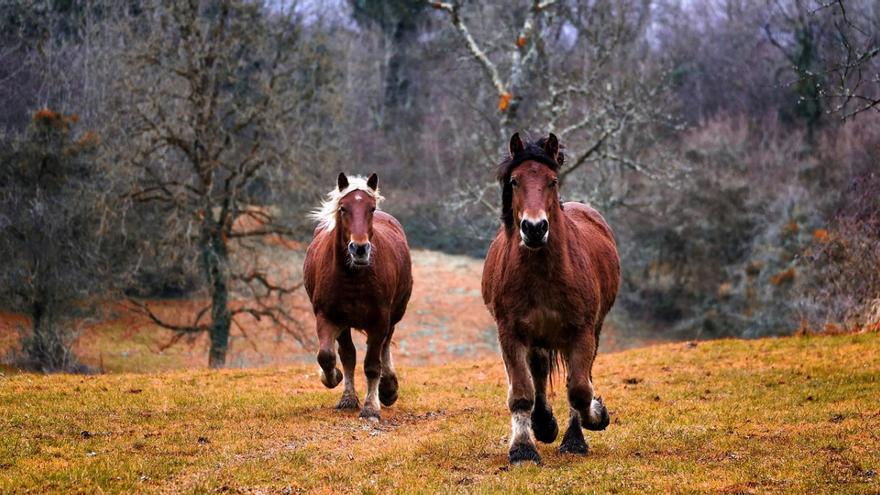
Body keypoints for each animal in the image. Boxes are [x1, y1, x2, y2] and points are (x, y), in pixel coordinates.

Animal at [303, 172, 413, 420]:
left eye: (371, 208)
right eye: (343, 208)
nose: (360, 249)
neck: (353, 277)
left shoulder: (379, 320)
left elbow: (372, 365)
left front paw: (372, 407)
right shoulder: (328, 317)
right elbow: (328, 356)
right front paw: (334, 380)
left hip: (394, 315)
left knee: (385, 346)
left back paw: (388, 389)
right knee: (348, 354)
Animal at [482, 133, 620, 464]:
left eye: (552, 180)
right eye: (515, 181)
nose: (534, 228)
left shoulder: (581, 332)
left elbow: (580, 390)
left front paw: (595, 418)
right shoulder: (511, 334)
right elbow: (522, 392)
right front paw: (523, 449)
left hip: (589, 332)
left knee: (576, 377)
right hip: (538, 338)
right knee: (539, 373)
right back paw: (543, 424)